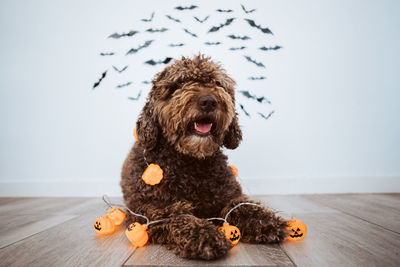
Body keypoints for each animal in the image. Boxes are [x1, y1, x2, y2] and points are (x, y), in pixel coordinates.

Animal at [120, 55, 290, 262]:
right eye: (181, 83)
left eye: (217, 83)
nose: (208, 102)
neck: (191, 162)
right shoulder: (148, 208)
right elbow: (177, 215)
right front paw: (204, 235)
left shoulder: (228, 195)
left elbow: (241, 205)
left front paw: (264, 220)